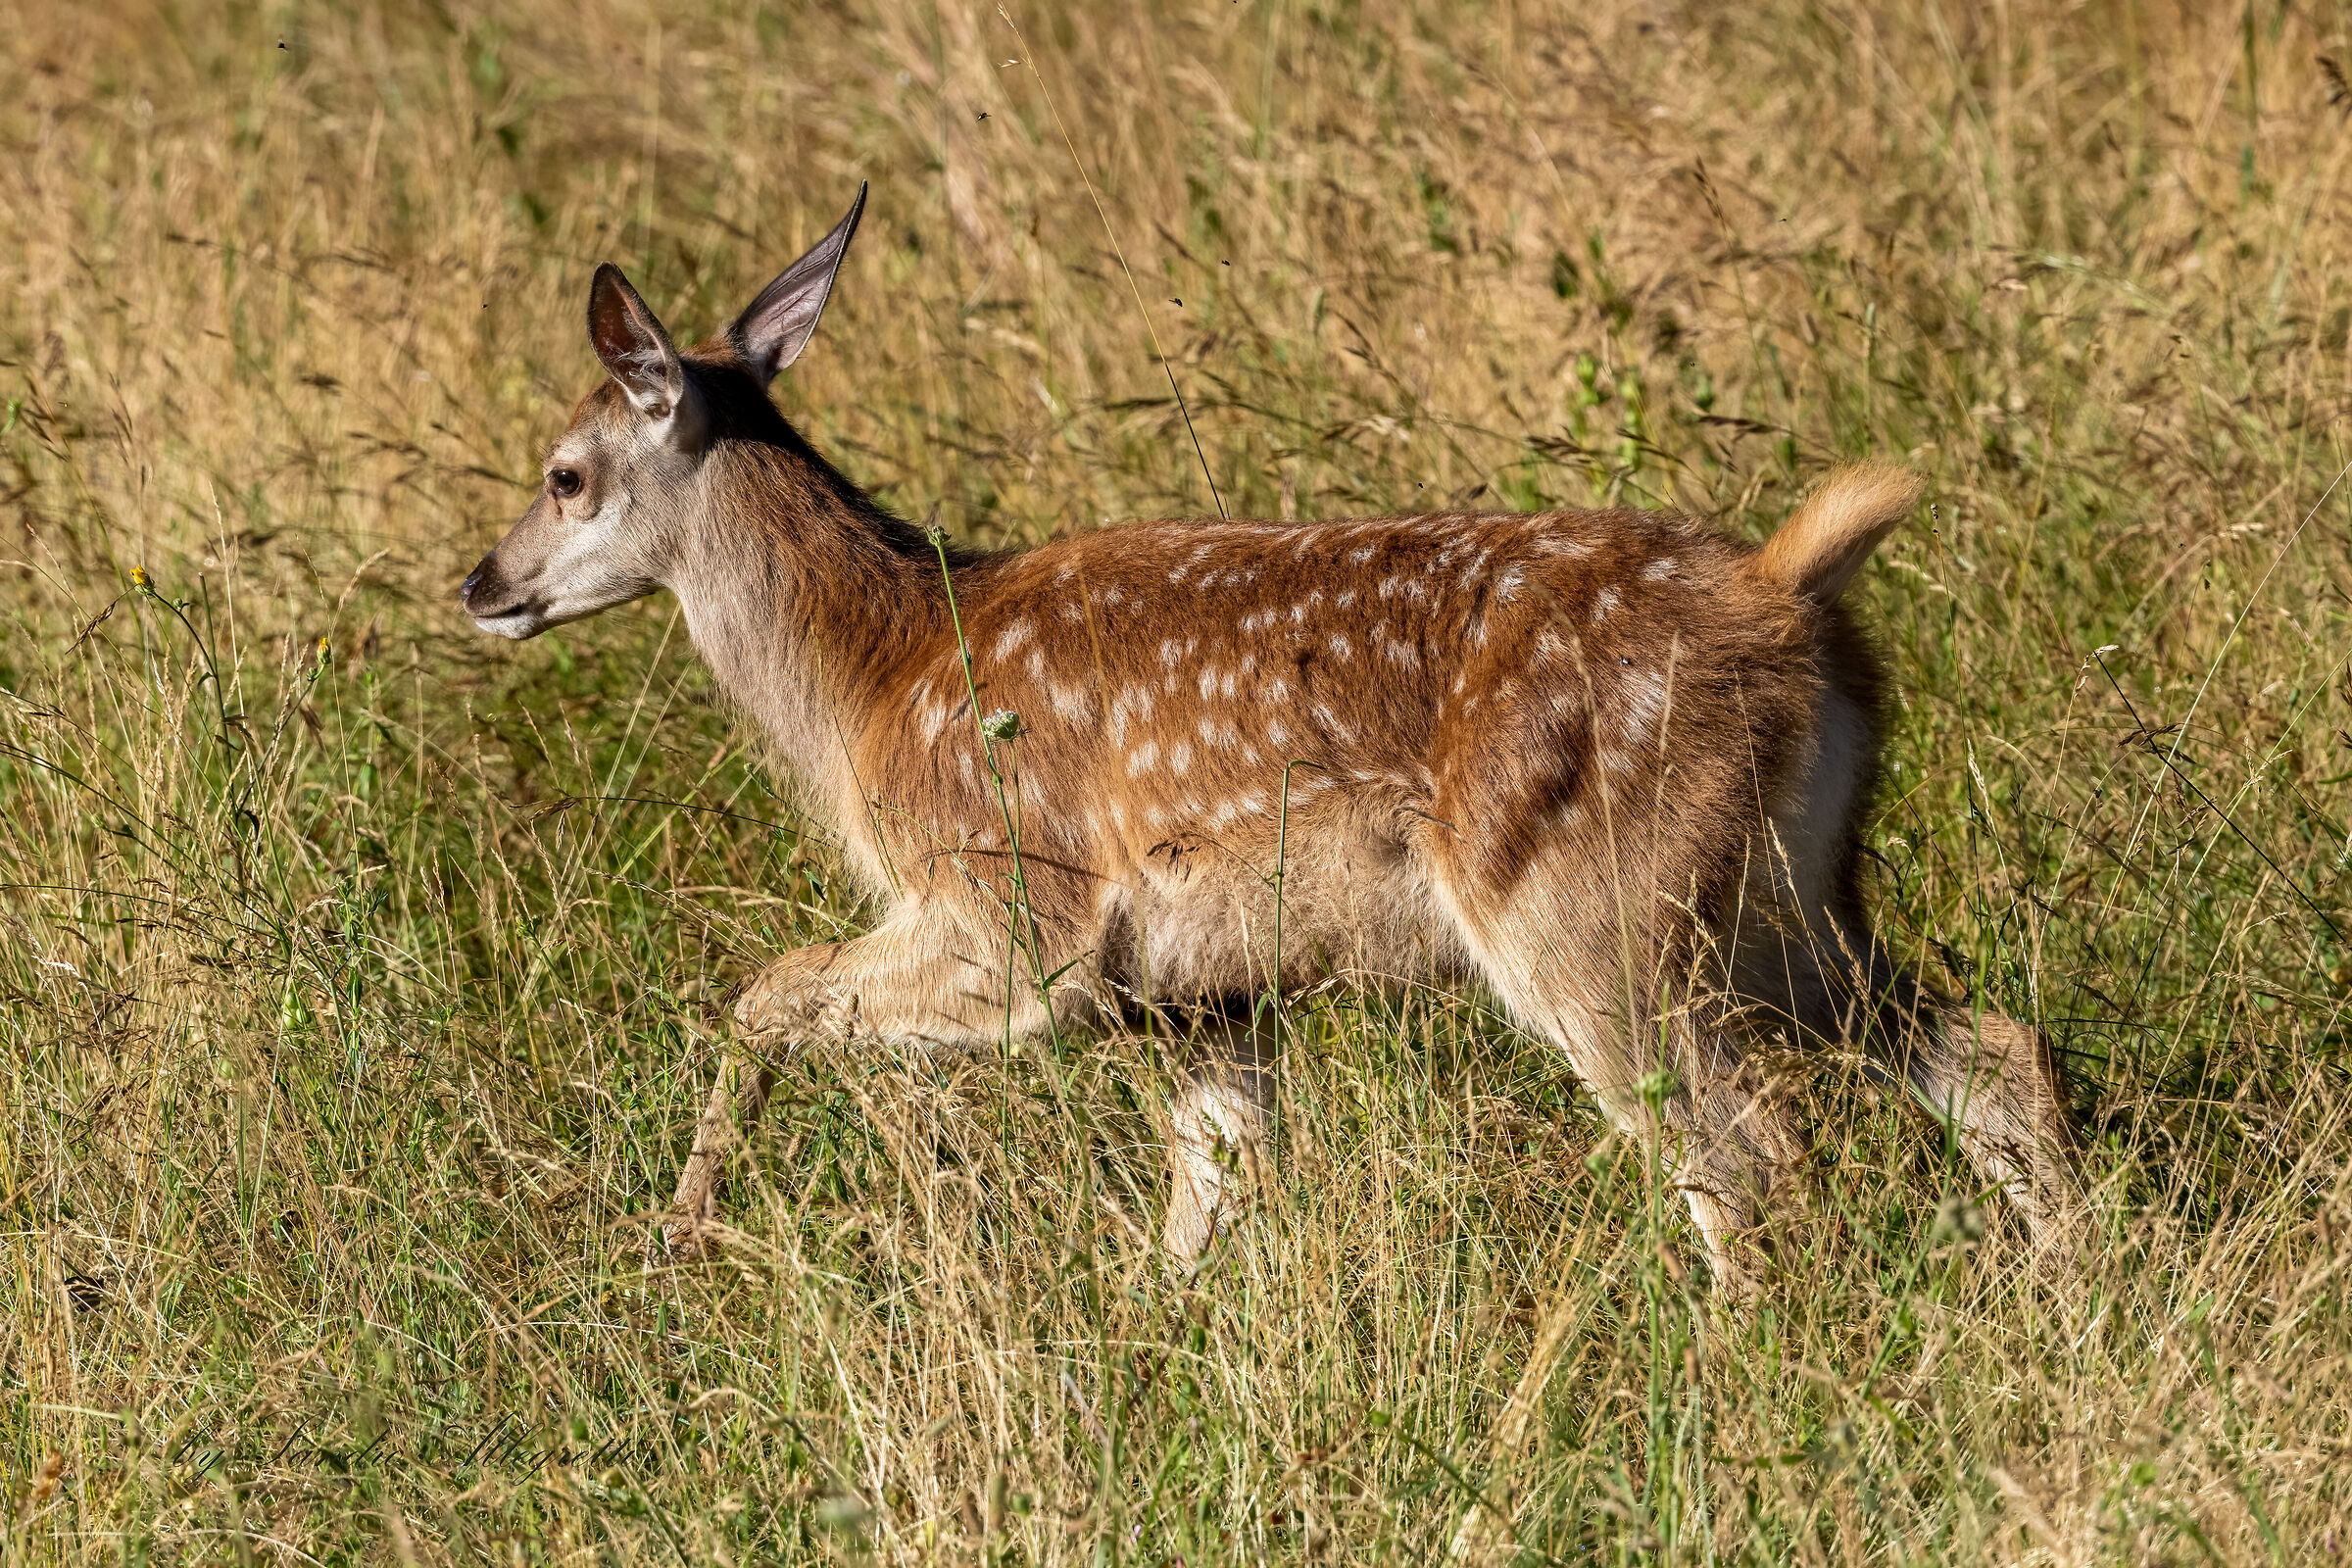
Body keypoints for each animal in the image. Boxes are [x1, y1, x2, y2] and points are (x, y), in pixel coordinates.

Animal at [459, 184, 2083, 1295]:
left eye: (564, 473)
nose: (481, 584)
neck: (882, 672)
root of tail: (1783, 593)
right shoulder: (1200, 999)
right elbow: (1211, 1179)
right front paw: (1147, 1357)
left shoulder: (1015, 916)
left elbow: (764, 992)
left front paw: (681, 1237)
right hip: (1785, 896)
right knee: (1983, 1048)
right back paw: (2079, 1284)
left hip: (1594, 907)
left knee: (1747, 1157)